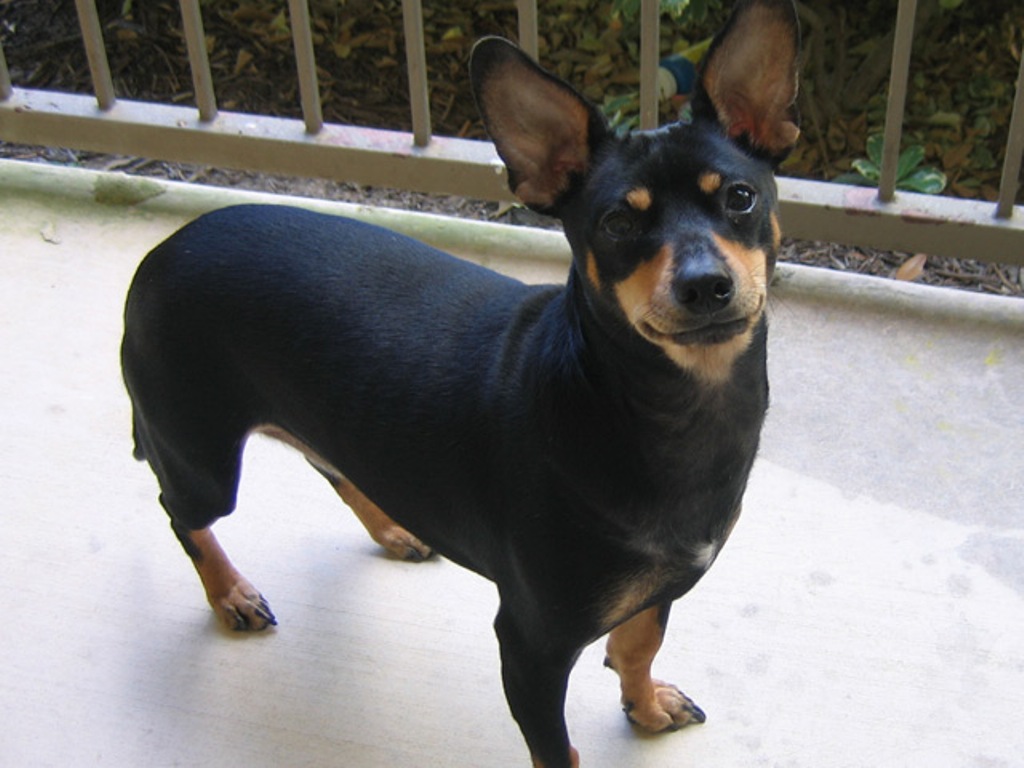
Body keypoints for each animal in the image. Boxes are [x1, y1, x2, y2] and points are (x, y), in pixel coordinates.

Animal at [121, 3, 798, 765]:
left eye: (740, 197)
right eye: (618, 223)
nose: (705, 285)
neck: (667, 413)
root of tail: (163, 250)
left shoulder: (658, 589)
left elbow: (636, 644)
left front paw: (645, 706)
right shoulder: (530, 646)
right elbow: (559, 748)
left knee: (331, 462)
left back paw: (394, 526)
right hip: (200, 458)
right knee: (182, 511)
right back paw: (230, 592)